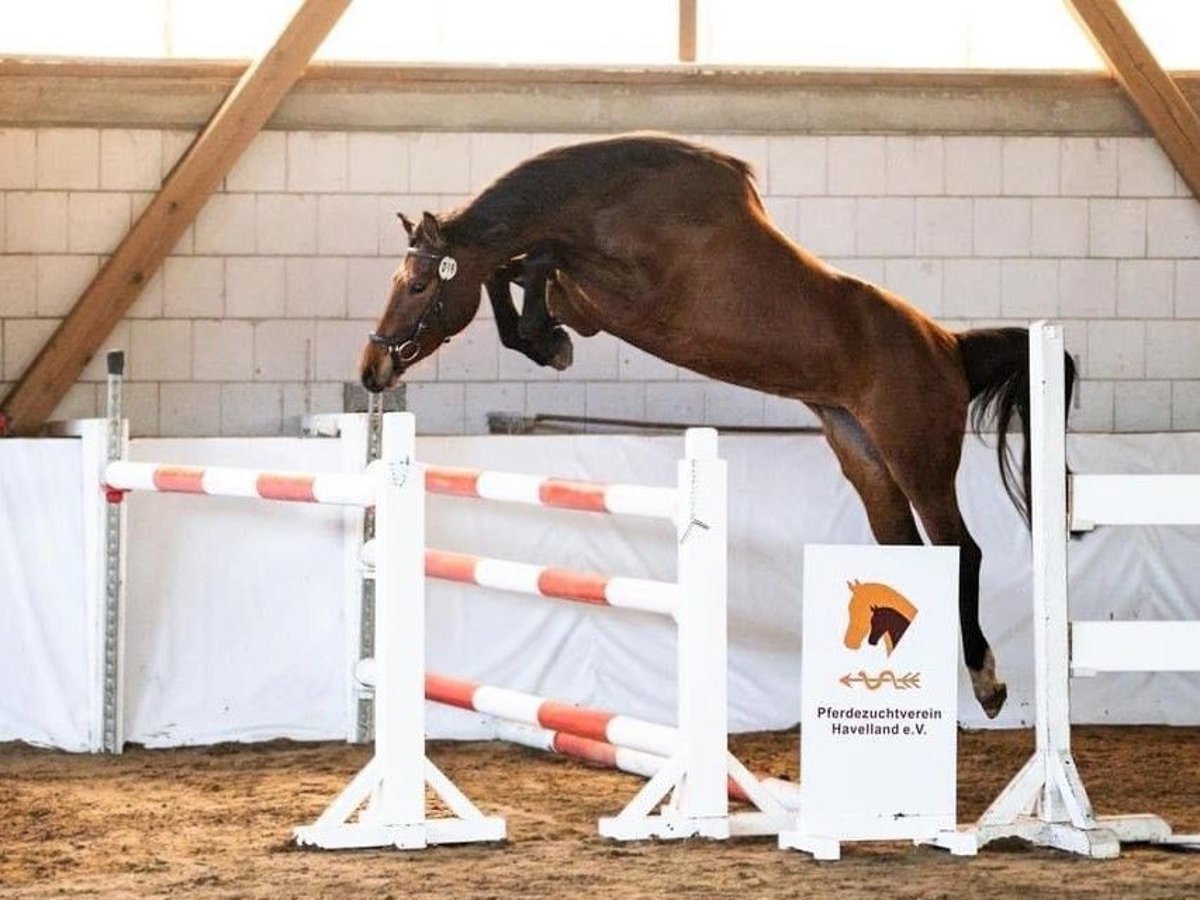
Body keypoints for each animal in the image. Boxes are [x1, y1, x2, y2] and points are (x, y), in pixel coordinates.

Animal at [357, 132, 1080, 720]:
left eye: (418, 286)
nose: (371, 369)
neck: (610, 202)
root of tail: (949, 348)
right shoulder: (587, 302)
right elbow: (517, 266)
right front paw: (542, 340)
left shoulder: (620, 294)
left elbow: (537, 258)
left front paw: (543, 339)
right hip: (864, 457)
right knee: (907, 552)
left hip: (918, 456)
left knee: (965, 549)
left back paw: (987, 683)